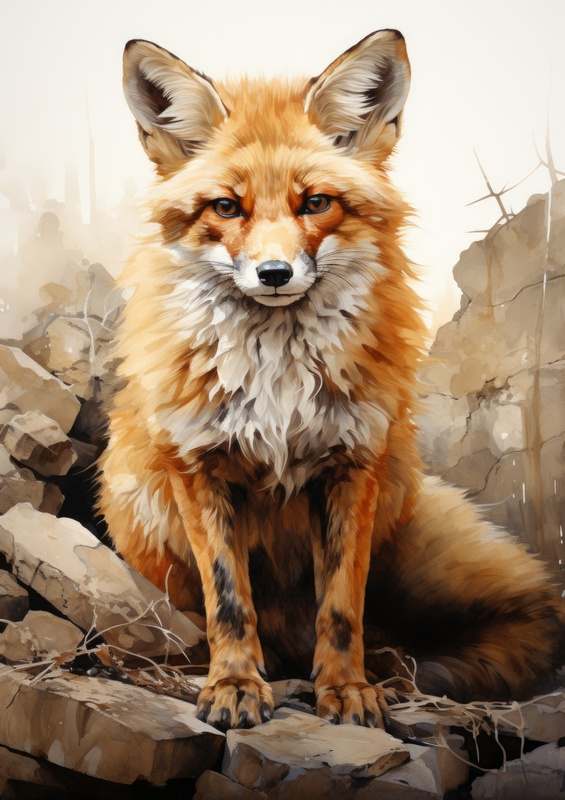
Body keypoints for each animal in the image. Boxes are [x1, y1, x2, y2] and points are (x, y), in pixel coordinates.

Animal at [98, 29, 563, 731]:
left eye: (315, 202)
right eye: (227, 207)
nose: (274, 273)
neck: (277, 378)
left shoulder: (353, 465)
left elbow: (341, 606)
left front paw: (345, 691)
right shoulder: (198, 467)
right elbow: (229, 601)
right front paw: (235, 684)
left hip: (405, 516)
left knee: (522, 620)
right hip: (138, 502)